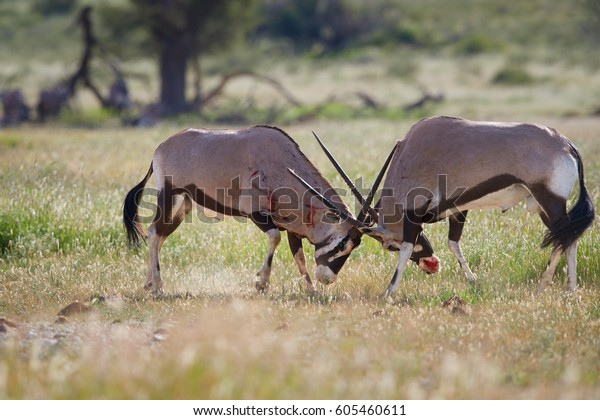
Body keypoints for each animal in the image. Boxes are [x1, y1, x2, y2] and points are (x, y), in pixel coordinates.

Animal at [123, 126, 372, 294]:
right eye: (341, 243)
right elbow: (275, 237)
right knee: (154, 233)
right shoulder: (255, 214)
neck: (282, 164)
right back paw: (158, 286)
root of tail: (160, 148)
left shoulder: (293, 228)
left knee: (159, 237)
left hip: (182, 207)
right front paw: (261, 282)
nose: (327, 279)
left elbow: (299, 257)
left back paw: (148, 283)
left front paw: (312, 291)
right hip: (170, 197)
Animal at [292, 116, 592, 296]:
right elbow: (453, 243)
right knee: (566, 238)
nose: (432, 265)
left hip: (550, 201)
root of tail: (566, 145)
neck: (408, 154)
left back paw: (557, 287)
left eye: (388, 246)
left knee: (566, 238)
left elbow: (408, 249)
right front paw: (472, 281)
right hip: (544, 206)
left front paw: (389, 292)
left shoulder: (413, 216)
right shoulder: (458, 209)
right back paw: (559, 287)